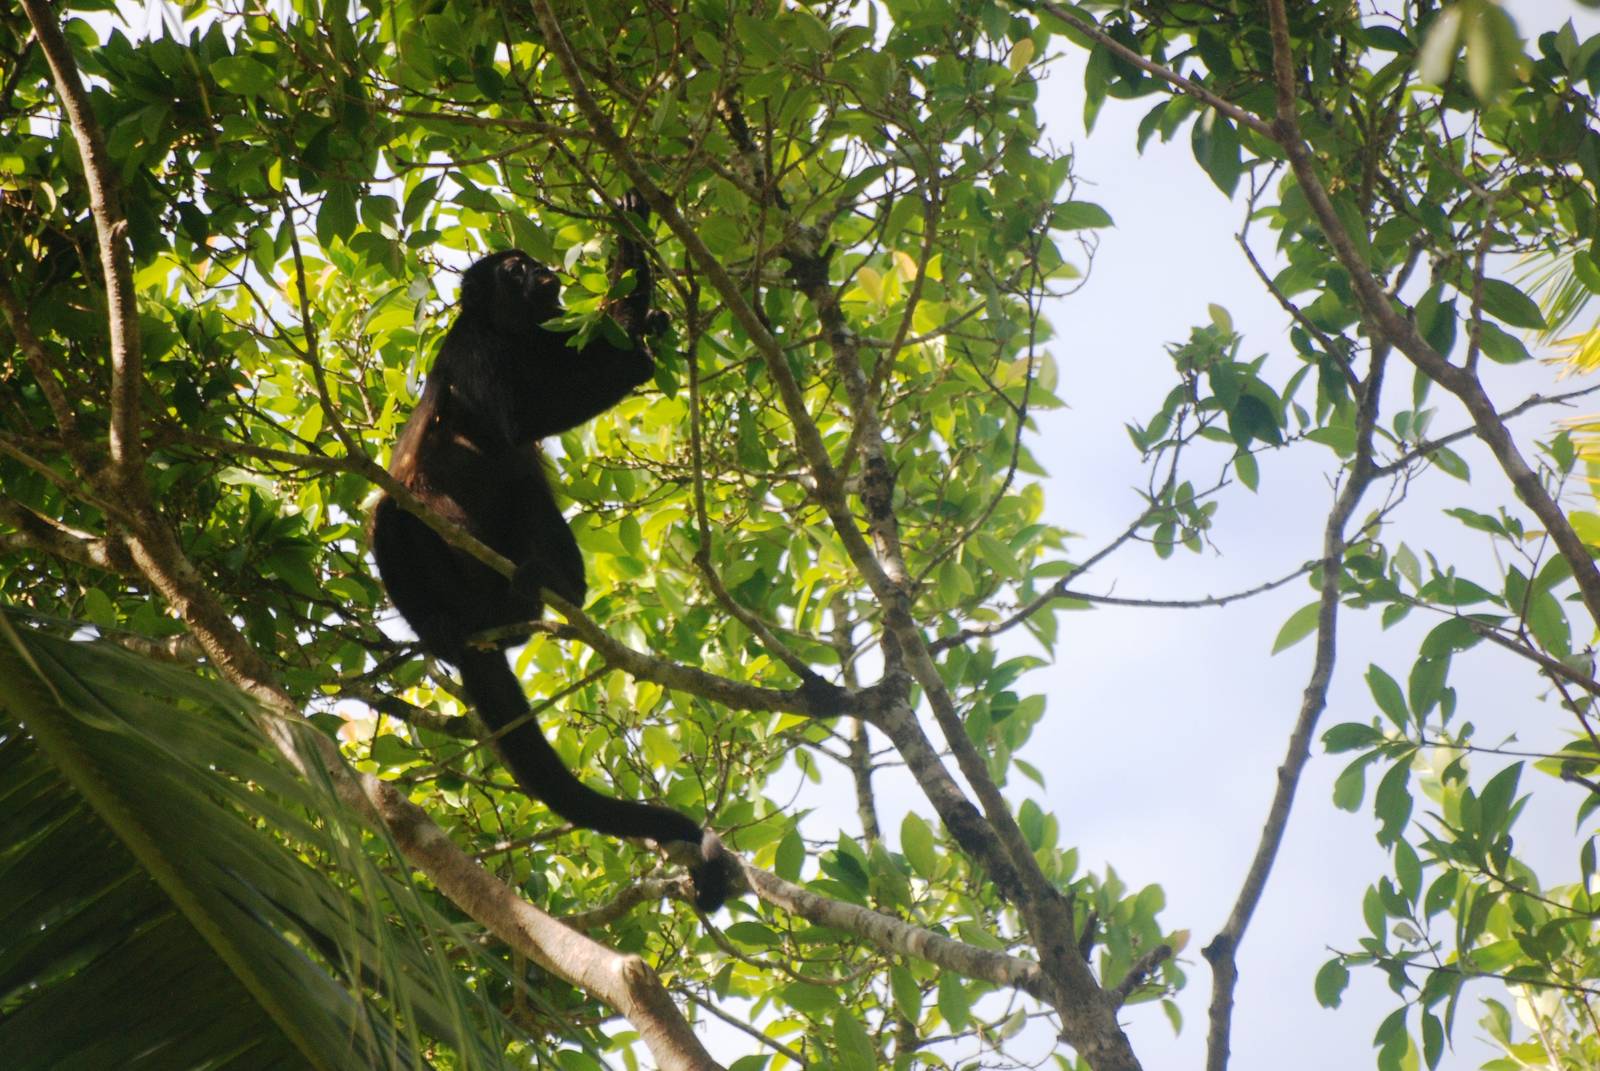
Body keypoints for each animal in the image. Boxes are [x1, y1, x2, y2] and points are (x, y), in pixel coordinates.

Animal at [369, 194, 735, 911]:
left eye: (531, 262)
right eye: (513, 267)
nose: (542, 270)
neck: (507, 332)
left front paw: (635, 259)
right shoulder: (472, 348)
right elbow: (517, 421)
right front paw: (642, 340)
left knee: (526, 490)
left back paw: (550, 588)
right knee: (394, 514)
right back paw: (458, 619)